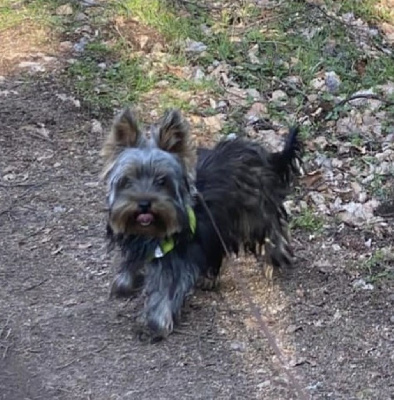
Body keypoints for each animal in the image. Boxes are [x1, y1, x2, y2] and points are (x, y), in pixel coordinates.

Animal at [101, 108, 302, 340]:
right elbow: (132, 263)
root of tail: (265, 156)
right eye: (129, 179)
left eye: (162, 181)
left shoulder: (178, 257)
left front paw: (154, 324)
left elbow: (165, 290)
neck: (150, 232)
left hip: (254, 212)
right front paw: (125, 281)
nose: (144, 204)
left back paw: (278, 254)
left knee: (273, 228)